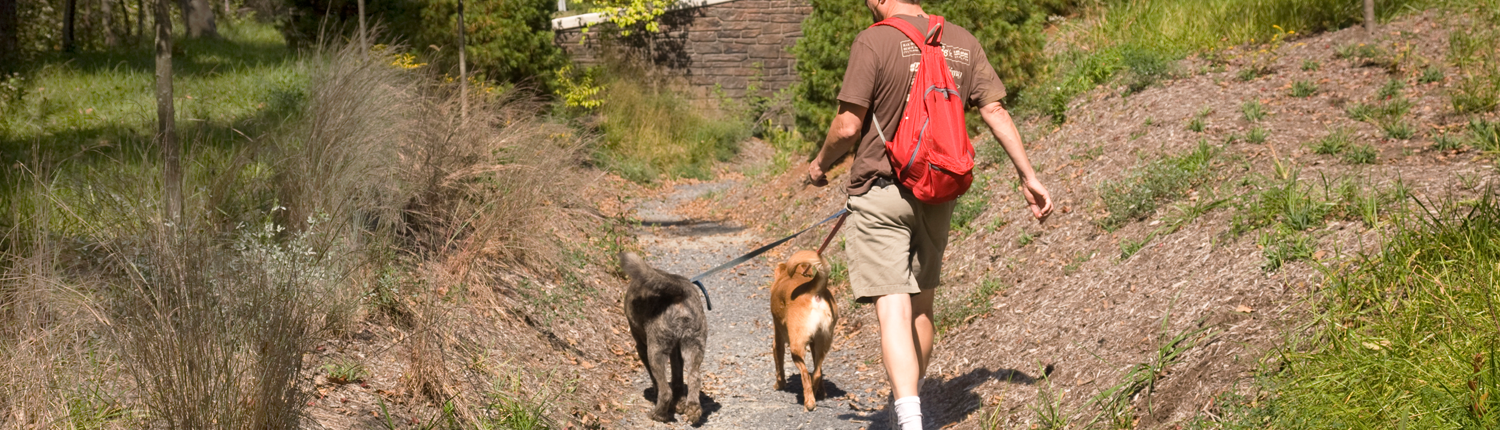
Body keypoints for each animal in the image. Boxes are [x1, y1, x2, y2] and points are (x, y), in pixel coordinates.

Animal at [624, 253, 711, 425]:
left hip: (656, 351)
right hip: (694, 344)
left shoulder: (641, 347)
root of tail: (680, 291)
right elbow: (677, 377)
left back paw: (658, 415)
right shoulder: (676, 350)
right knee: (694, 377)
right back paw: (693, 409)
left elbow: (656, 380)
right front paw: (680, 403)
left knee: (665, 391)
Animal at [768, 251, 840, 413]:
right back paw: (816, 393)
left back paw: (809, 403)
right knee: (817, 373)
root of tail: (814, 289)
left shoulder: (778, 340)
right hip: (822, 344)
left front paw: (779, 385)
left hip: (796, 347)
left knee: (806, 374)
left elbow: (779, 367)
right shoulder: (813, 344)